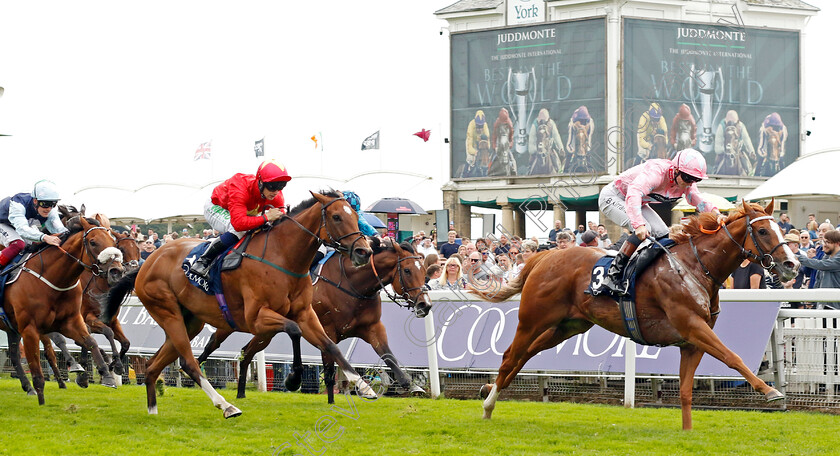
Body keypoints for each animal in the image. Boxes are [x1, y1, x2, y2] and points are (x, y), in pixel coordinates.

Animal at [0, 216, 124, 404]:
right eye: (93, 242)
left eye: (113, 241)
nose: (117, 271)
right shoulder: (31, 328)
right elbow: (39, 369)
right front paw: (42, 403)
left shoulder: (70, 322)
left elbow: (91, 342)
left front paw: (106, 374)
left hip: (12, 328)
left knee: (14, 355)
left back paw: (28, 387)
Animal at [100, 191, 372, 418]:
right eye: (336, 216)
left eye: (355, 216)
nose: (364, 251)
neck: (282, 256)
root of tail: (146, 263)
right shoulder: (257, 318)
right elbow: (293, 330)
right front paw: (293, 379)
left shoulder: (306, 314)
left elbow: (330, 346)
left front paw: (364, 386)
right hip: (167, 312)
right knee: (189, 363)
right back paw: (226, 405)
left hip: (191, 322)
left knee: (153, 365)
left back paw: (153, 411)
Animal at [199, 237, 434, 404]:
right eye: (407, 270)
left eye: (424, 271)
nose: (425, 305)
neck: (352, 286)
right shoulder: (327, 330)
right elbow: (331, 367)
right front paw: (340, 396)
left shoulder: (372, 327)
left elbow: (388, 355)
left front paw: (411, 384)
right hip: (232, 322)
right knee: (213, 344)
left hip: (265, 330)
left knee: (246, 352)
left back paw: (240, 393)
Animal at [476, 201, 796, 430]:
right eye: (763, 231)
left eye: (782, 230)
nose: (791, 265)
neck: (694, 266)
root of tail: (545, 256)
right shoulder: (693, 327)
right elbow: (733, 357)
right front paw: (770, 391)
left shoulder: (691, 342)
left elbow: (685, 391)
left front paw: (687, 433)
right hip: (533, 318)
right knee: (510, 356)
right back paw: (489, 405)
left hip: (568, 326)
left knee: (526, 354)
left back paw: (489, 389)